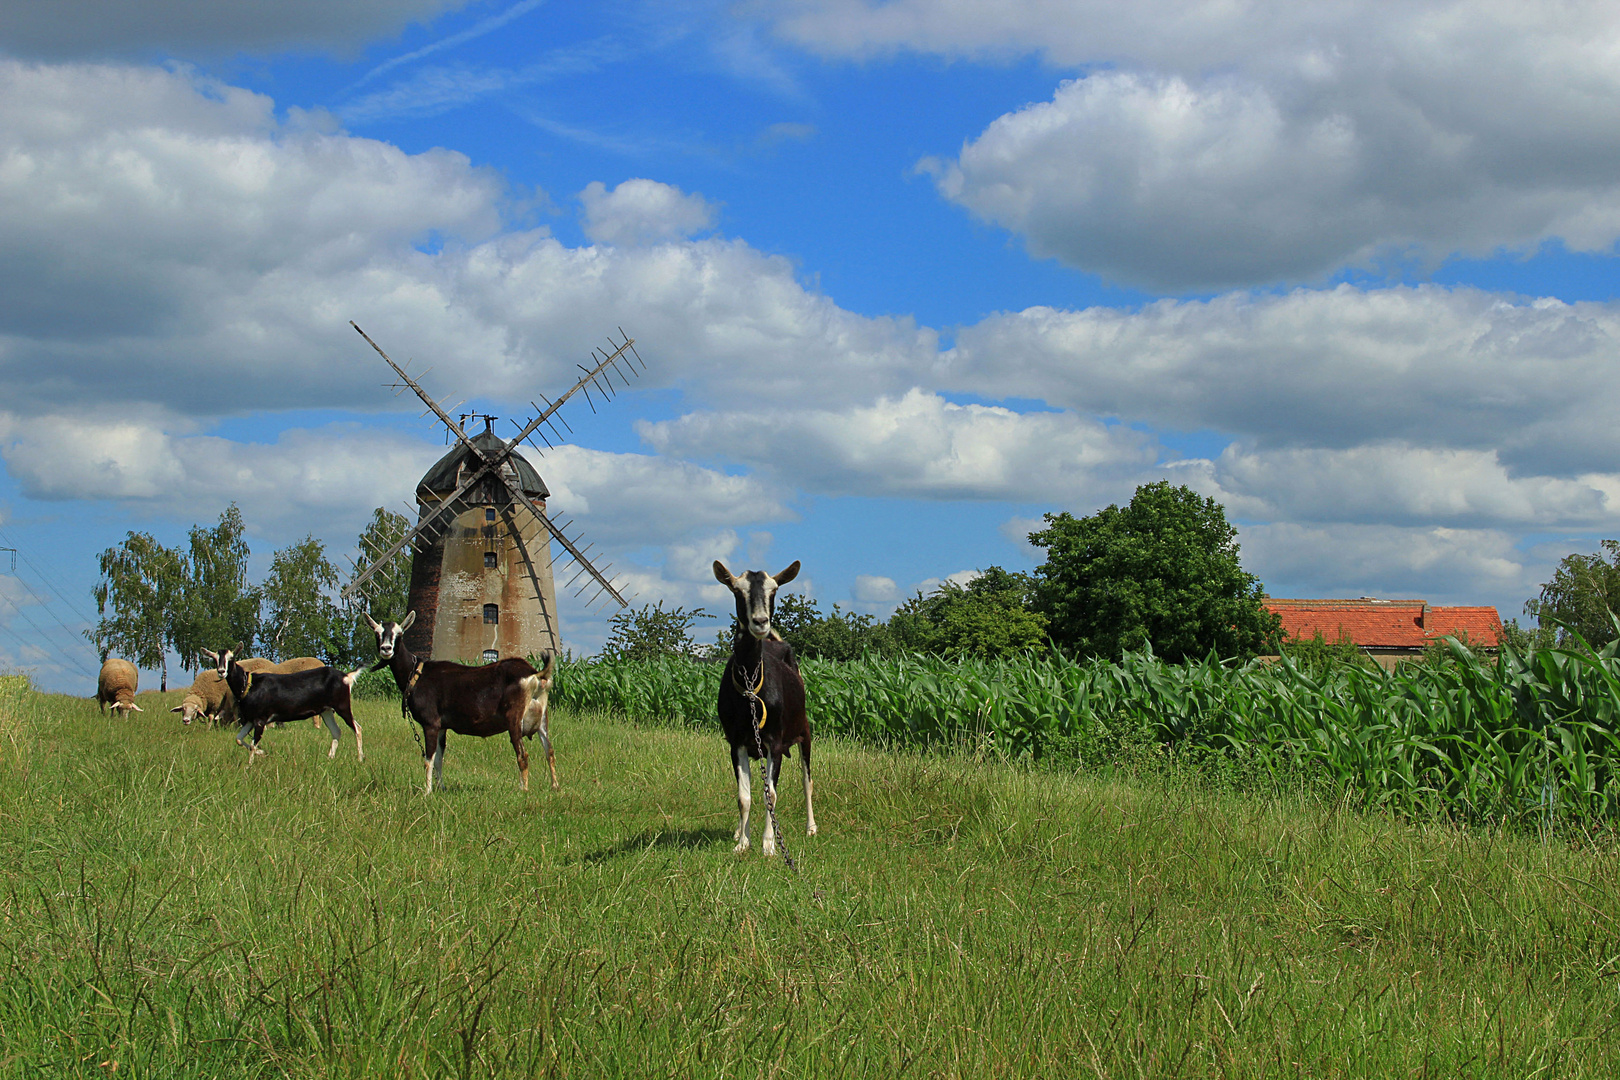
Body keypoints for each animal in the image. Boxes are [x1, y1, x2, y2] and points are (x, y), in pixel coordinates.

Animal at [205, 647, 364, 764]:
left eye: (231, 658)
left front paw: (250, 766)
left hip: (342, 706)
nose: (221, 671)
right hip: (327, 710)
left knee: (357, 728)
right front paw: (262, 752)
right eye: (215, 658)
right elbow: (239, 739)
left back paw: (360, 759)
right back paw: (330, 758)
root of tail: (346, 676)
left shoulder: (260, 720)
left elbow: (252, 745)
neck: (249, 684)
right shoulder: (250, 719)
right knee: (336, 731)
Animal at [362, 612, 557, 799]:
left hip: (514, 719)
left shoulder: (430, 723)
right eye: (377, 633)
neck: (417, 673)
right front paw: (441, 788)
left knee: (522, 755)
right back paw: (555, 787)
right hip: (542, 720)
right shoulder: (442, 726)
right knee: (549, 751)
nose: (386, 649)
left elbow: (428, 759)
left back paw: (523, 789)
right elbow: (439, 759)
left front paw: (427, 792)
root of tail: (535, 674)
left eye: (399, 634)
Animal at [716, 563, 816, 854]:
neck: (751, 687)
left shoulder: (775, 742)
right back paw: (738, 832)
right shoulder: (736, 743)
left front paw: (769, 845)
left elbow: (770, 793)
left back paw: (811, 827)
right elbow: (744, 796)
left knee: (807, 781)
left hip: (804, 733)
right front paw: (743, 843)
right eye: (737, 591)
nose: (760, 622)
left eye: (774, 590)